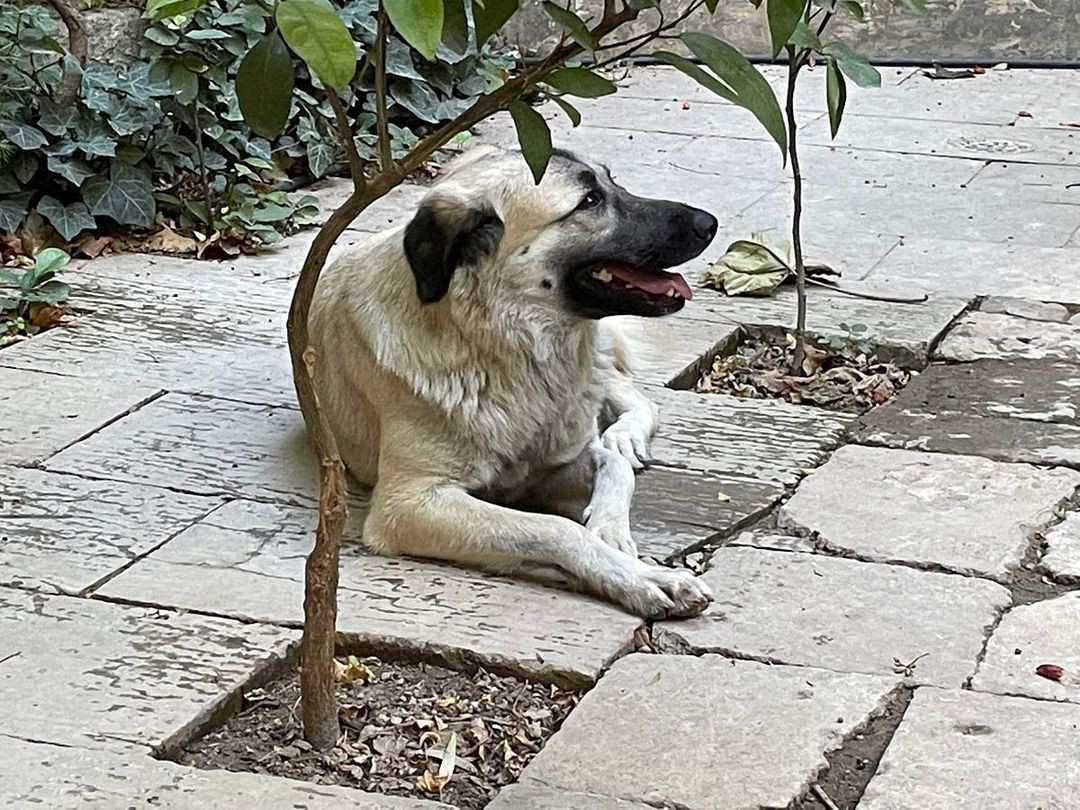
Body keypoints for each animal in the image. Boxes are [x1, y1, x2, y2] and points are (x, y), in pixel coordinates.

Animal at [308, 145, 721, 617]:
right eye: (589, 201)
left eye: (611, 181)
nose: (709, 223)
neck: (501, 347)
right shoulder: (409, 504)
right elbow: (555, 528)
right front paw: (640, 577)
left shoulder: (555, 462)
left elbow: (611, 468)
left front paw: (611, 532)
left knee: (628, 398)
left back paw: (624, 435)